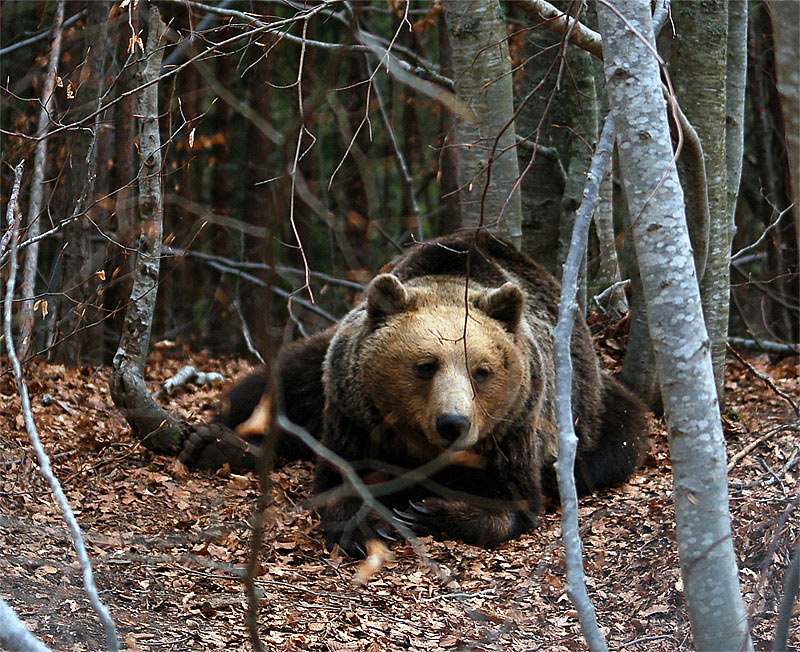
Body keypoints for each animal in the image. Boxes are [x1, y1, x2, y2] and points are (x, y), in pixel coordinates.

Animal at [181, 229, 644, 556]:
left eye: (482, 371)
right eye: (426, 365)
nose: (454, 423)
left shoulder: (515, 428)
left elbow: (515, 503)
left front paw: (428, 510)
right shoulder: (354, 417)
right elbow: (340, 480)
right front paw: (366, 523)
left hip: (591, 408)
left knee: (615, 446)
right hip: (321, 363)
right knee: (278, 384)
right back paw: (214, 443)